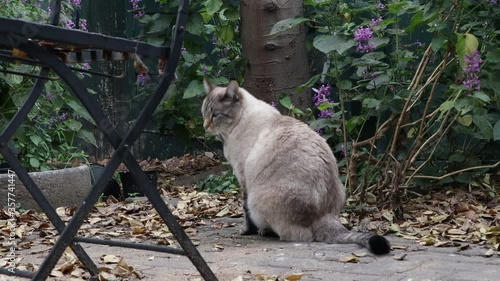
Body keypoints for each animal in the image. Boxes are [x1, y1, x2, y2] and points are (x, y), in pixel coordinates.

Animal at [201, 78, 388, 254]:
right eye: (204, 113)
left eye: (216, 115)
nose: (205, 126)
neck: (237, 123)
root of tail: (325, 215)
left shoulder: (242, 177)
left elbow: (245, 210)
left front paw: (246, 231)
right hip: (342, 189)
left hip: (257, 199)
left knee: (295, 235)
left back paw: (265, 231)